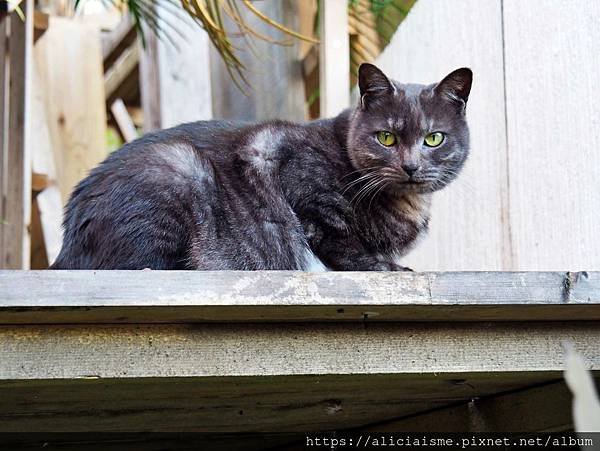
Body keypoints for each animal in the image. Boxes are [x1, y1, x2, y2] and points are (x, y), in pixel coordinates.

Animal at [50, 63, 474, 272]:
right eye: (386, 137)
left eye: (433, 138)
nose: (411, 166)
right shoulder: (296, 188)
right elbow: (341, 244)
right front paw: (390, 269)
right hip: (179, 167)